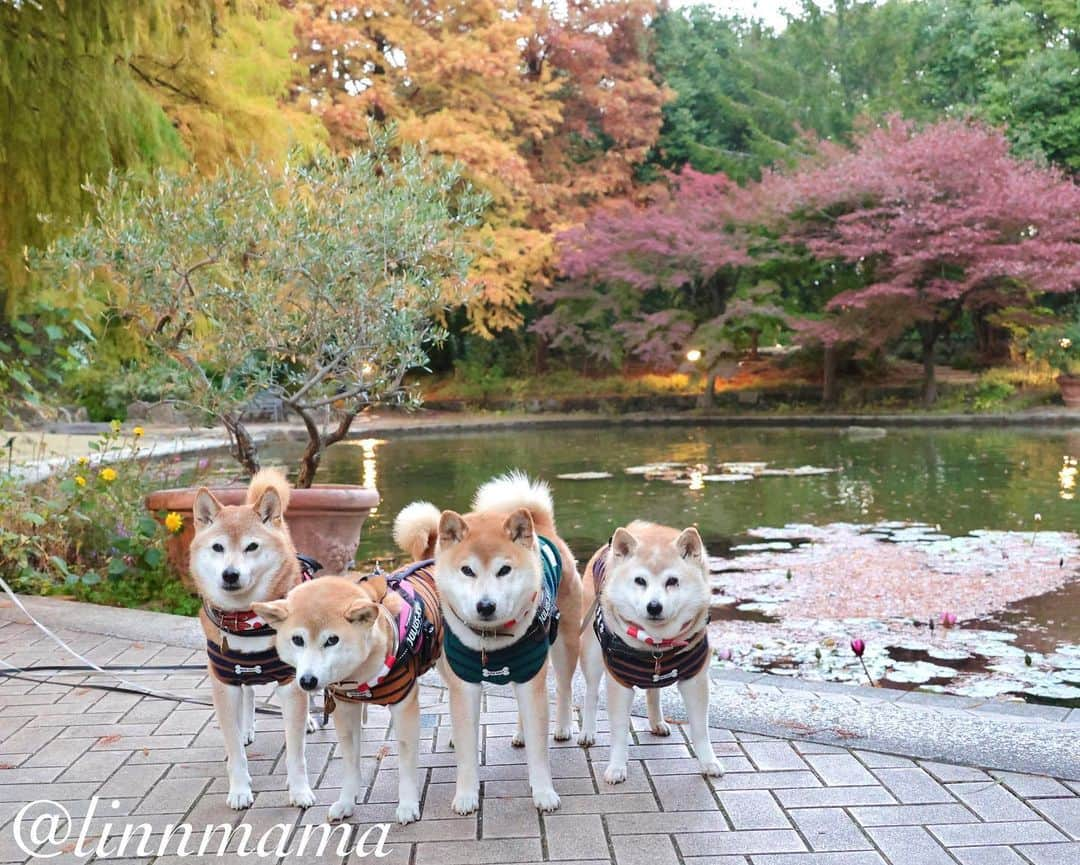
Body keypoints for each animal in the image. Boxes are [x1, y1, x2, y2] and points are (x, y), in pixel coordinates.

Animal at [190, 468, 315, 807]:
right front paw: (239, 789)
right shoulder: (223, 683)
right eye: (218, 547)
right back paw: (246, 727)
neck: (247, 619)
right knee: (247, 695)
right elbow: (234, 750)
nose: (230, 574)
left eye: (251, 547)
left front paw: (300, 790)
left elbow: (296, 752)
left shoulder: (290, 684)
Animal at [250, 565, 440, 825]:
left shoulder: (404, 705)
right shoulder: (345, 708)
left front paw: (408, 805)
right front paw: (346, 802)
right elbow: (350, 765)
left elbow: (406, 763)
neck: (358, 675)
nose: (307, 681)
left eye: (332, 640)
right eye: (297, 640)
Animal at [395, 472, 583, 816]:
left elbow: (539, 750)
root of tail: (544, 528)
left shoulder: (530, 673)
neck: (490, 639)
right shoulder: (465, 683)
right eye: (467, 570)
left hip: (563, 645)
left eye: (504, 570)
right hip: (447, 664)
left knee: (563, 688)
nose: (485, 606)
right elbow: (467, 751)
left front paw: (544, 792)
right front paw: (466, 795)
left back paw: (562, 727)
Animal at [578, 520, 721, 781]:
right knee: (591, 694)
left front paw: (709, 762)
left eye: (672, 581)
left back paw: (657, 722)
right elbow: (619, 732)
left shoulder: (694, 680)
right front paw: (616, 767)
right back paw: (587, 732)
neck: (657, 643)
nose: (654, 606)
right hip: (591, 654)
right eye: (640, 581)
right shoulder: (619, 683)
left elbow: (700, 729)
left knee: (653, 691)